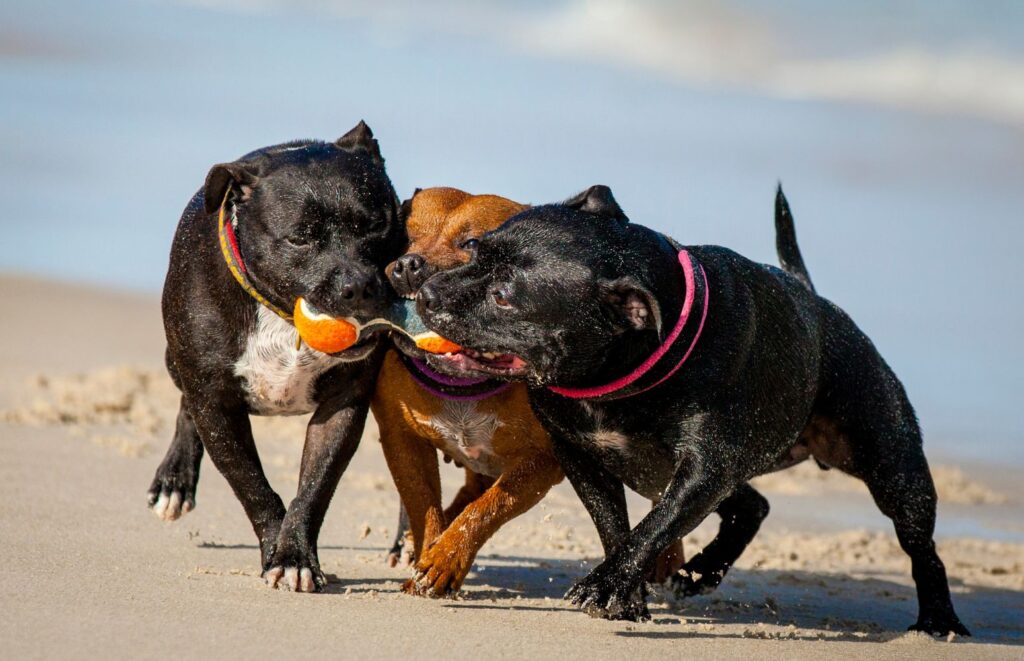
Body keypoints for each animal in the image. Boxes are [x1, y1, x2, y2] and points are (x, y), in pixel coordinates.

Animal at [372, 189, 684, 597]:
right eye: (404, 237)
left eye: (471, 244)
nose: (408, 265)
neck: (467, 384)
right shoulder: (402, 441)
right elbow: (425, 506)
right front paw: (430, 550)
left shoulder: (542, 462)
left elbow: (487, 508)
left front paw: (445, 557)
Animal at [415, 185, 966, 638]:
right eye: (475, 249)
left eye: (504, 296)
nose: (425, 293)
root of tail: (814, 300)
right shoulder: (583, 456)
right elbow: (615, 525)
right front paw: (627, 597)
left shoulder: (704, 469)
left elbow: (655, 525)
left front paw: (606, 586)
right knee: (751, 507)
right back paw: (702, 570)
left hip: (893, 468)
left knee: (922, 547)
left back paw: (939, 620)